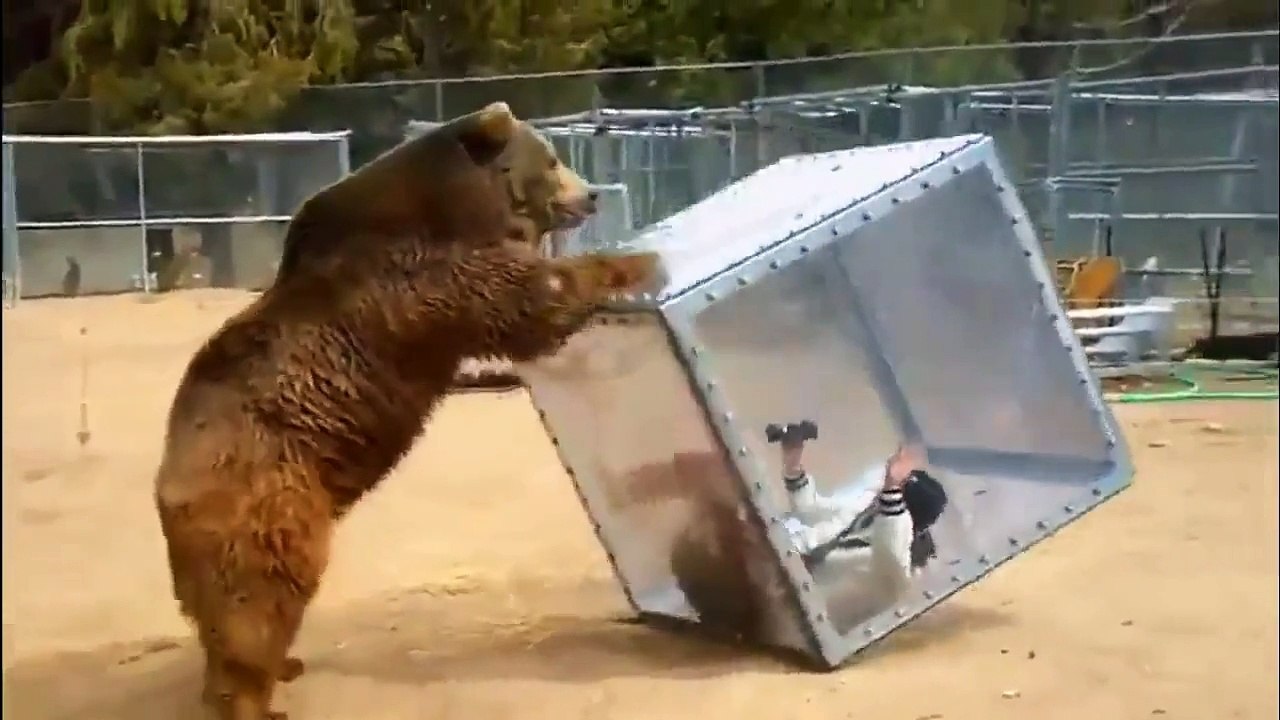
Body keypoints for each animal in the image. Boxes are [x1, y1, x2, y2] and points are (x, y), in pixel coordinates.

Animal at [153, 102, 662, 720]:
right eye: (551, 159)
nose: (591, 195)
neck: (463, 207)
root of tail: (169, 486)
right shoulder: (426, 278)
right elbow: (530, 300)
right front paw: (639, 260)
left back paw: (271, 670)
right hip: (269, 499)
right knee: (260, 599)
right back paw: (255, 697)